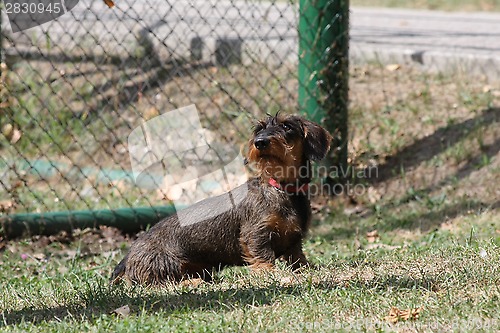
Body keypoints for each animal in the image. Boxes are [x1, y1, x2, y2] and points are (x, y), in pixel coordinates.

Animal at [113, 113, 332, 284]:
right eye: (259, 129)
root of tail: (128, 255)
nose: (260, 142)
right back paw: (191, 283)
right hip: (165, 263)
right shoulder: (256, 232)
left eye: (286, 126)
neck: (281, 188)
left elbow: (297, 258)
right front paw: (269, 273)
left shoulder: (294, 239)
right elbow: (262, 254)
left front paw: (308, 268)